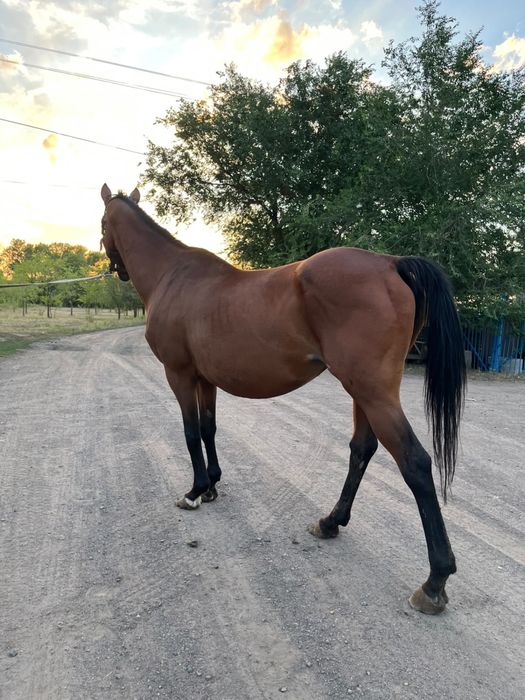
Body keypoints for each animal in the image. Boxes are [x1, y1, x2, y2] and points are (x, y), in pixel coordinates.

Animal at [100, 184, 466, 615]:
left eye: (102, 224)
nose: (115, 267)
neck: (172, 275)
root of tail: (390, 263)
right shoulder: (206, 380)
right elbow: (208, 429)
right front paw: (212, 486)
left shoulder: (180, 374)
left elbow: (190, 433)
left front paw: (193, 492)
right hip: (363, 391)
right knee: (362, 448)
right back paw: (330, 522)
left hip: (374, 393)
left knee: (415, 463)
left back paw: (434, 581)